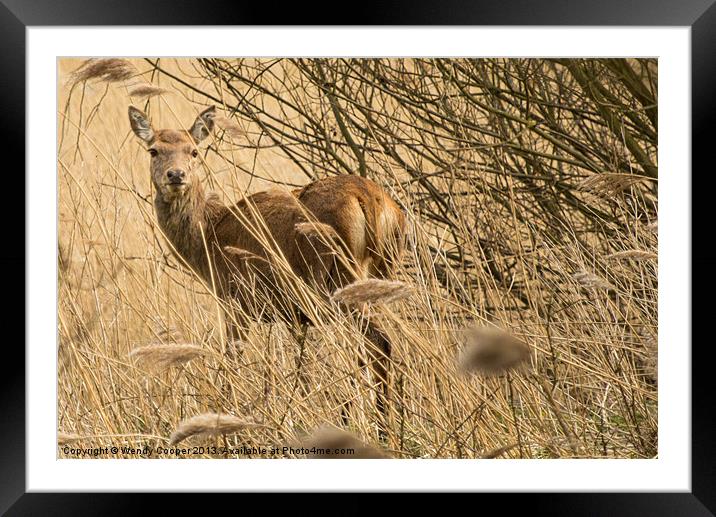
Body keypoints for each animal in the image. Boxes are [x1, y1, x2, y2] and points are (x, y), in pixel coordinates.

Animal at [129, 104, 406, 436]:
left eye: (194, 151)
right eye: (154, 150)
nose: (176, 175)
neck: (208, 240)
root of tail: (370, 200)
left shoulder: (236, 298)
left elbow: (233, 359)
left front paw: (227, 421)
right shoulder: (287, 315)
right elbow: (292, 367)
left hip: (339, 283)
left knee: (377, 343)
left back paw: (375, 425)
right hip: (380, 273)